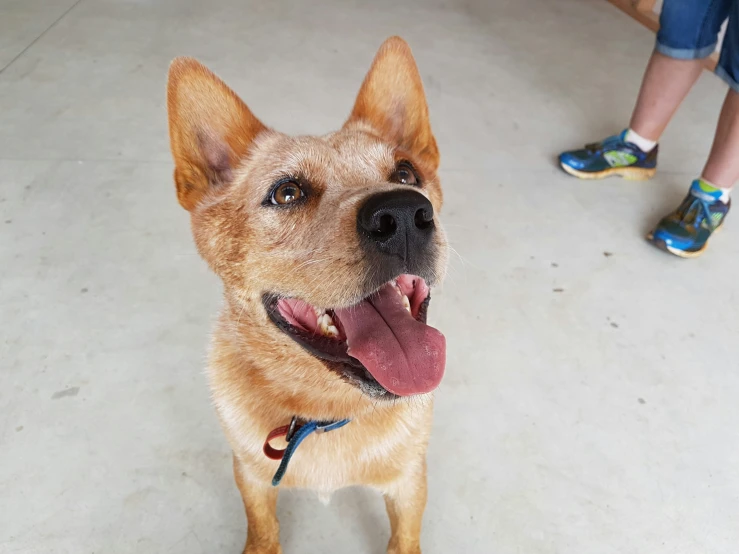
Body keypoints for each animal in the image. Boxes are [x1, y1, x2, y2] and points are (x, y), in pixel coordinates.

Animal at [166, 36, 446, 548]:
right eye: (287, 193)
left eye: (405, 173)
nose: (402, 214)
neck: (326, 410)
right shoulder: (250, 475)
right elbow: (262, 529)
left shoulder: (409, 480)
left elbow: (404, 538)